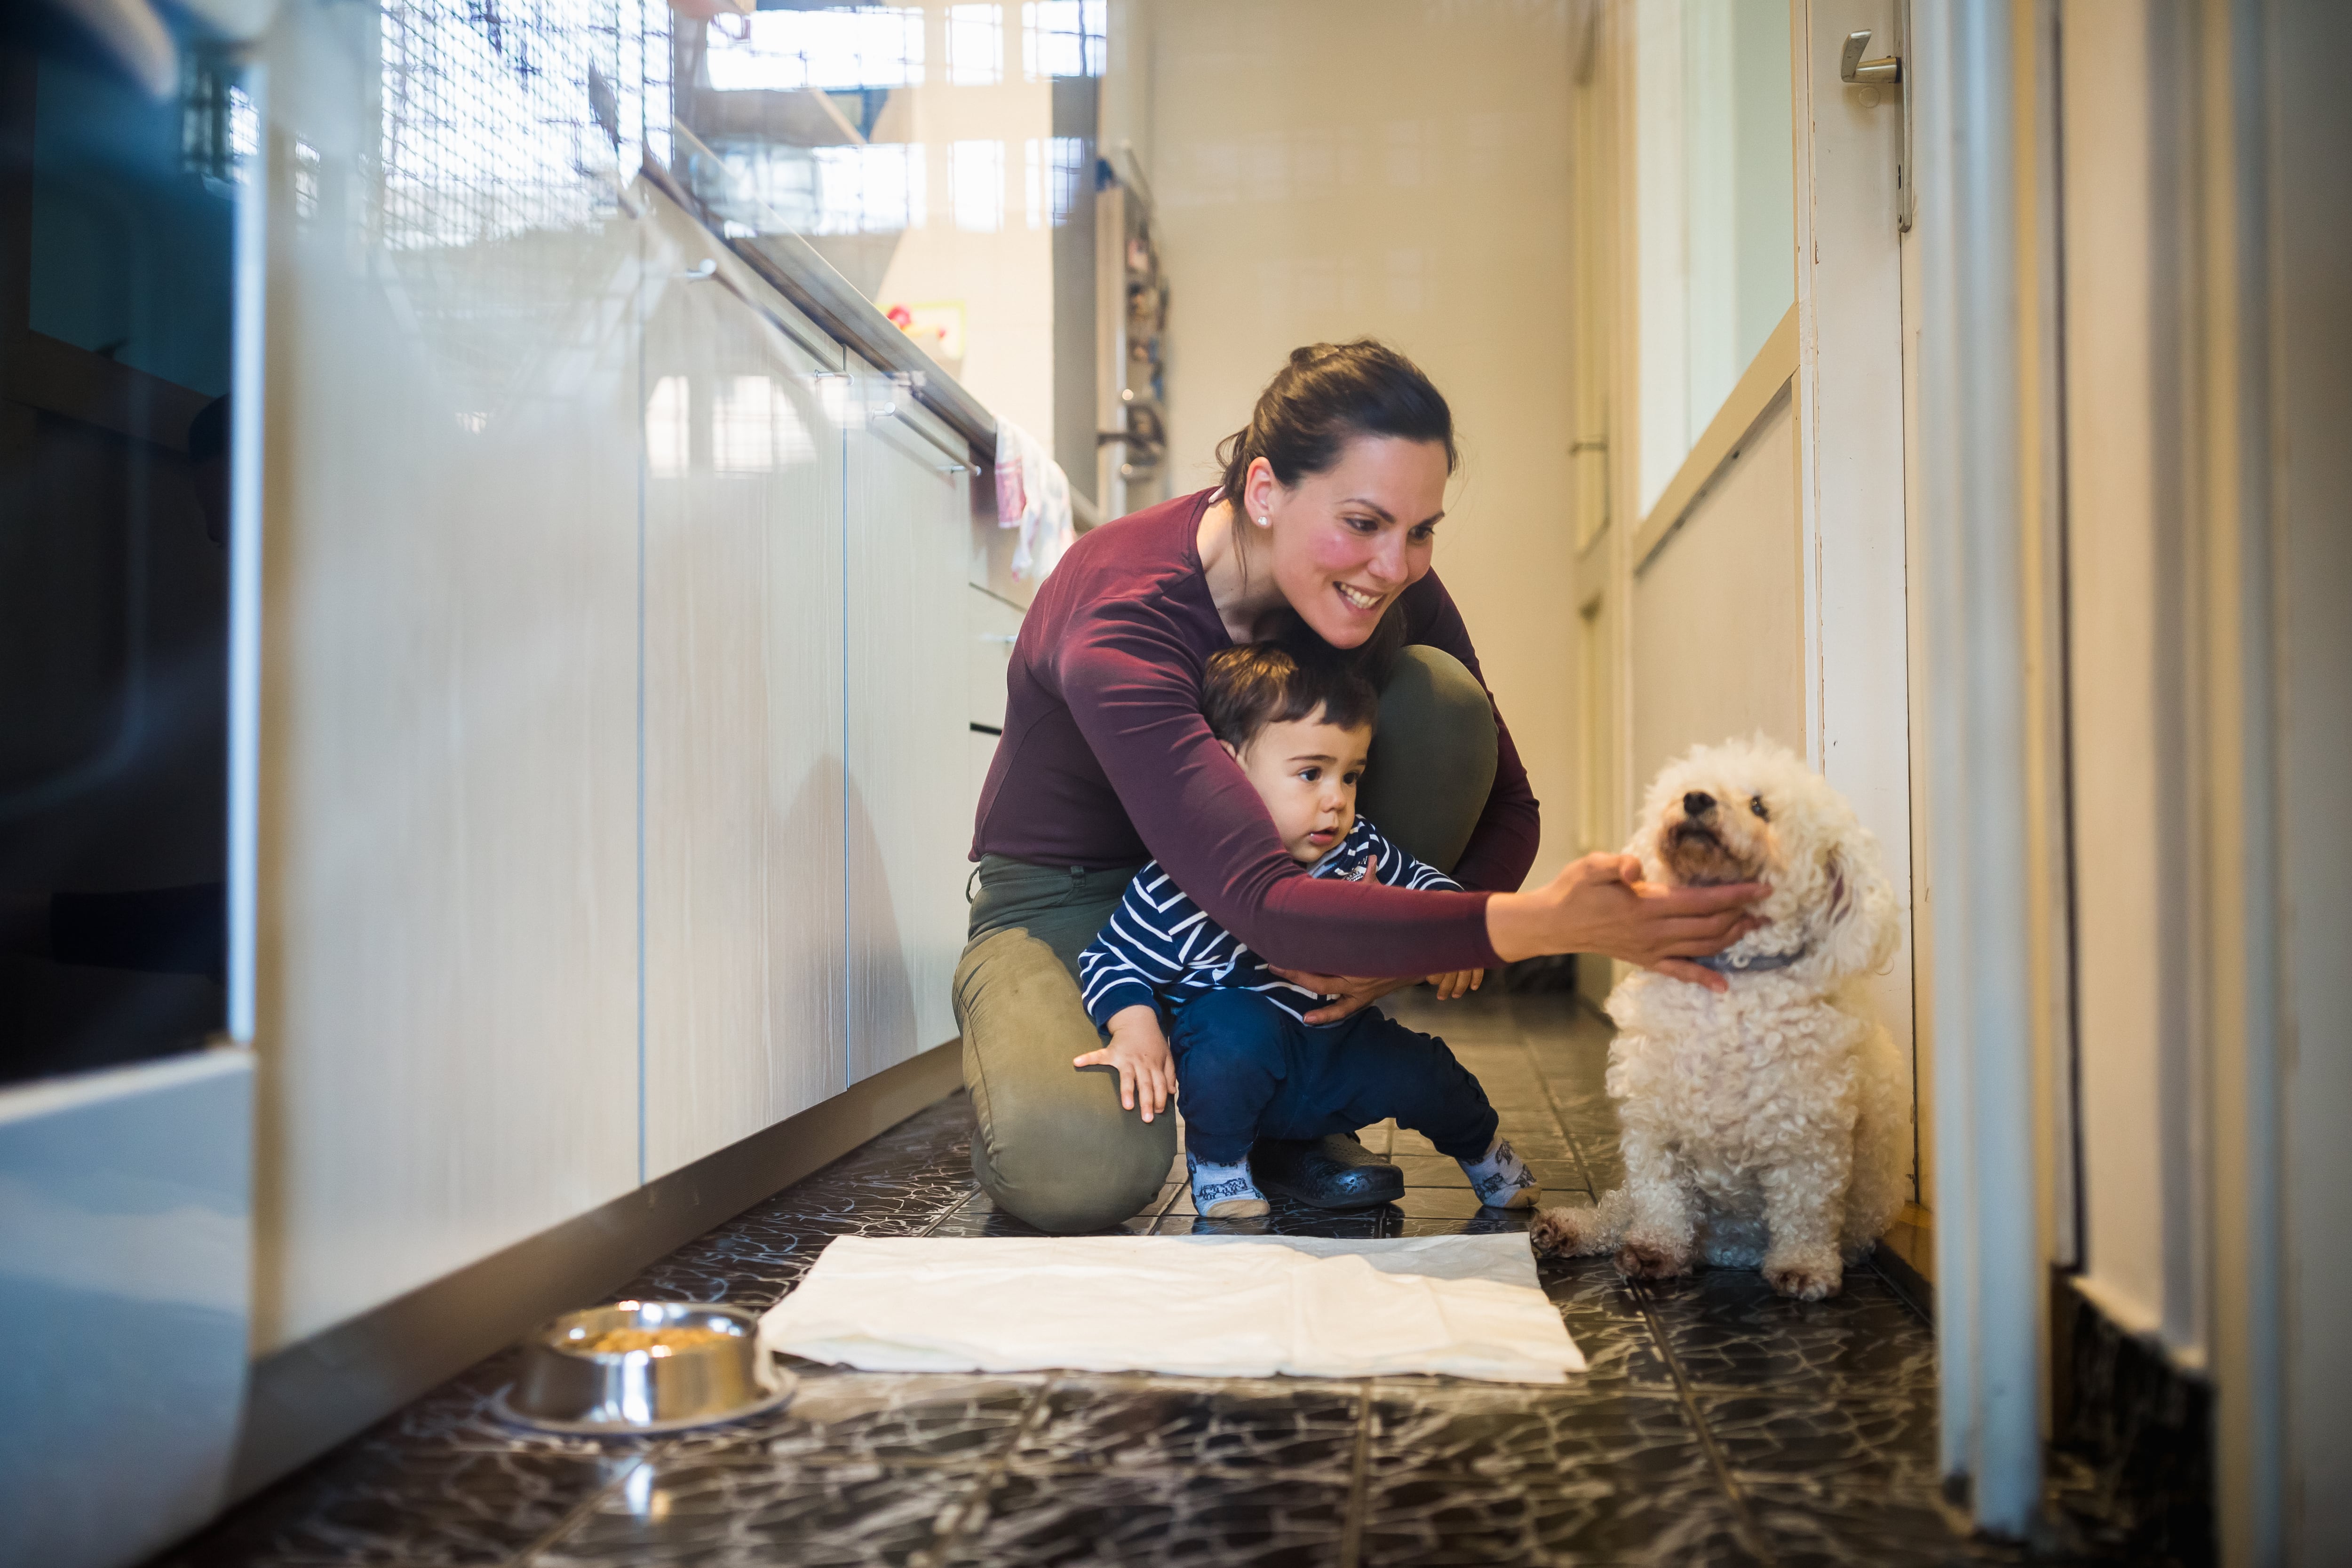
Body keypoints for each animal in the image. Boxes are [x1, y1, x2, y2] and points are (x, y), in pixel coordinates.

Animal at [1534, 738, 1900, 1298]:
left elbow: (1805, 1211)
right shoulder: (1654, 1129)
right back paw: (1571, 1227)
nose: (1696, 800)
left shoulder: (1811, 1142)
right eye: (1691, 784)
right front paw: (1654, 1251)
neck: (1728, 988)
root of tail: (1728, 1254)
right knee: (1619, 1209)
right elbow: (1660, 1200)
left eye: (1760, 807)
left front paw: (1805, 1268)